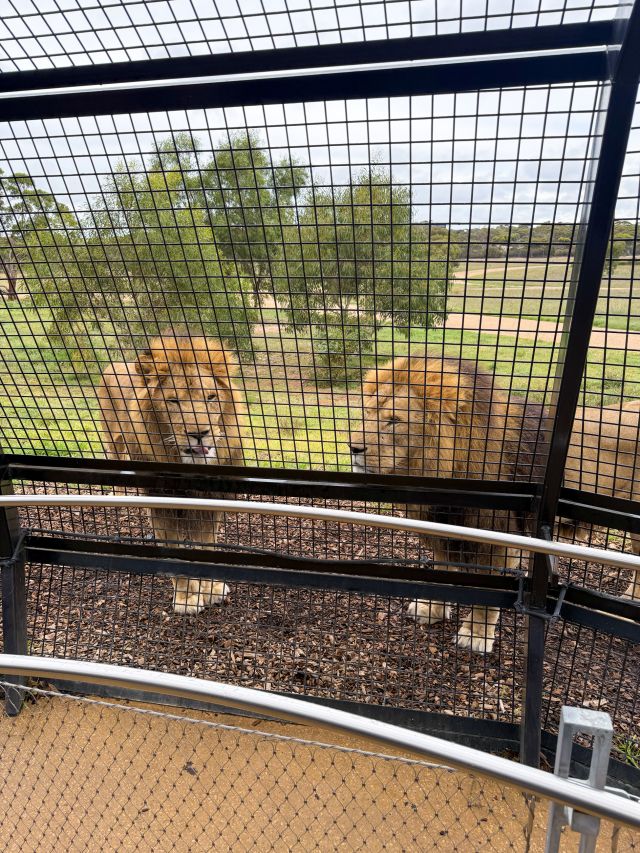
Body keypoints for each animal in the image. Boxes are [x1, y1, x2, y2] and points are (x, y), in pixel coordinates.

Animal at [97, 334, 246, 614]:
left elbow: (208, 545)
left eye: (211, 397)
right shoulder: (161, 503)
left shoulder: (210, 502)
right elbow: (175, 552)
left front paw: (210, 589)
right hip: (112, 435)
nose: (199, 433)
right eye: (173, 401)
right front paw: (187, 599)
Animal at [348, 355, 548, 654]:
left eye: (394, 421)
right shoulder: (441, 529)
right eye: (368, 414)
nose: (352, 448)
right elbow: (442, 571)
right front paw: (432, 609)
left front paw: (475, 635)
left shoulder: (499, 539)